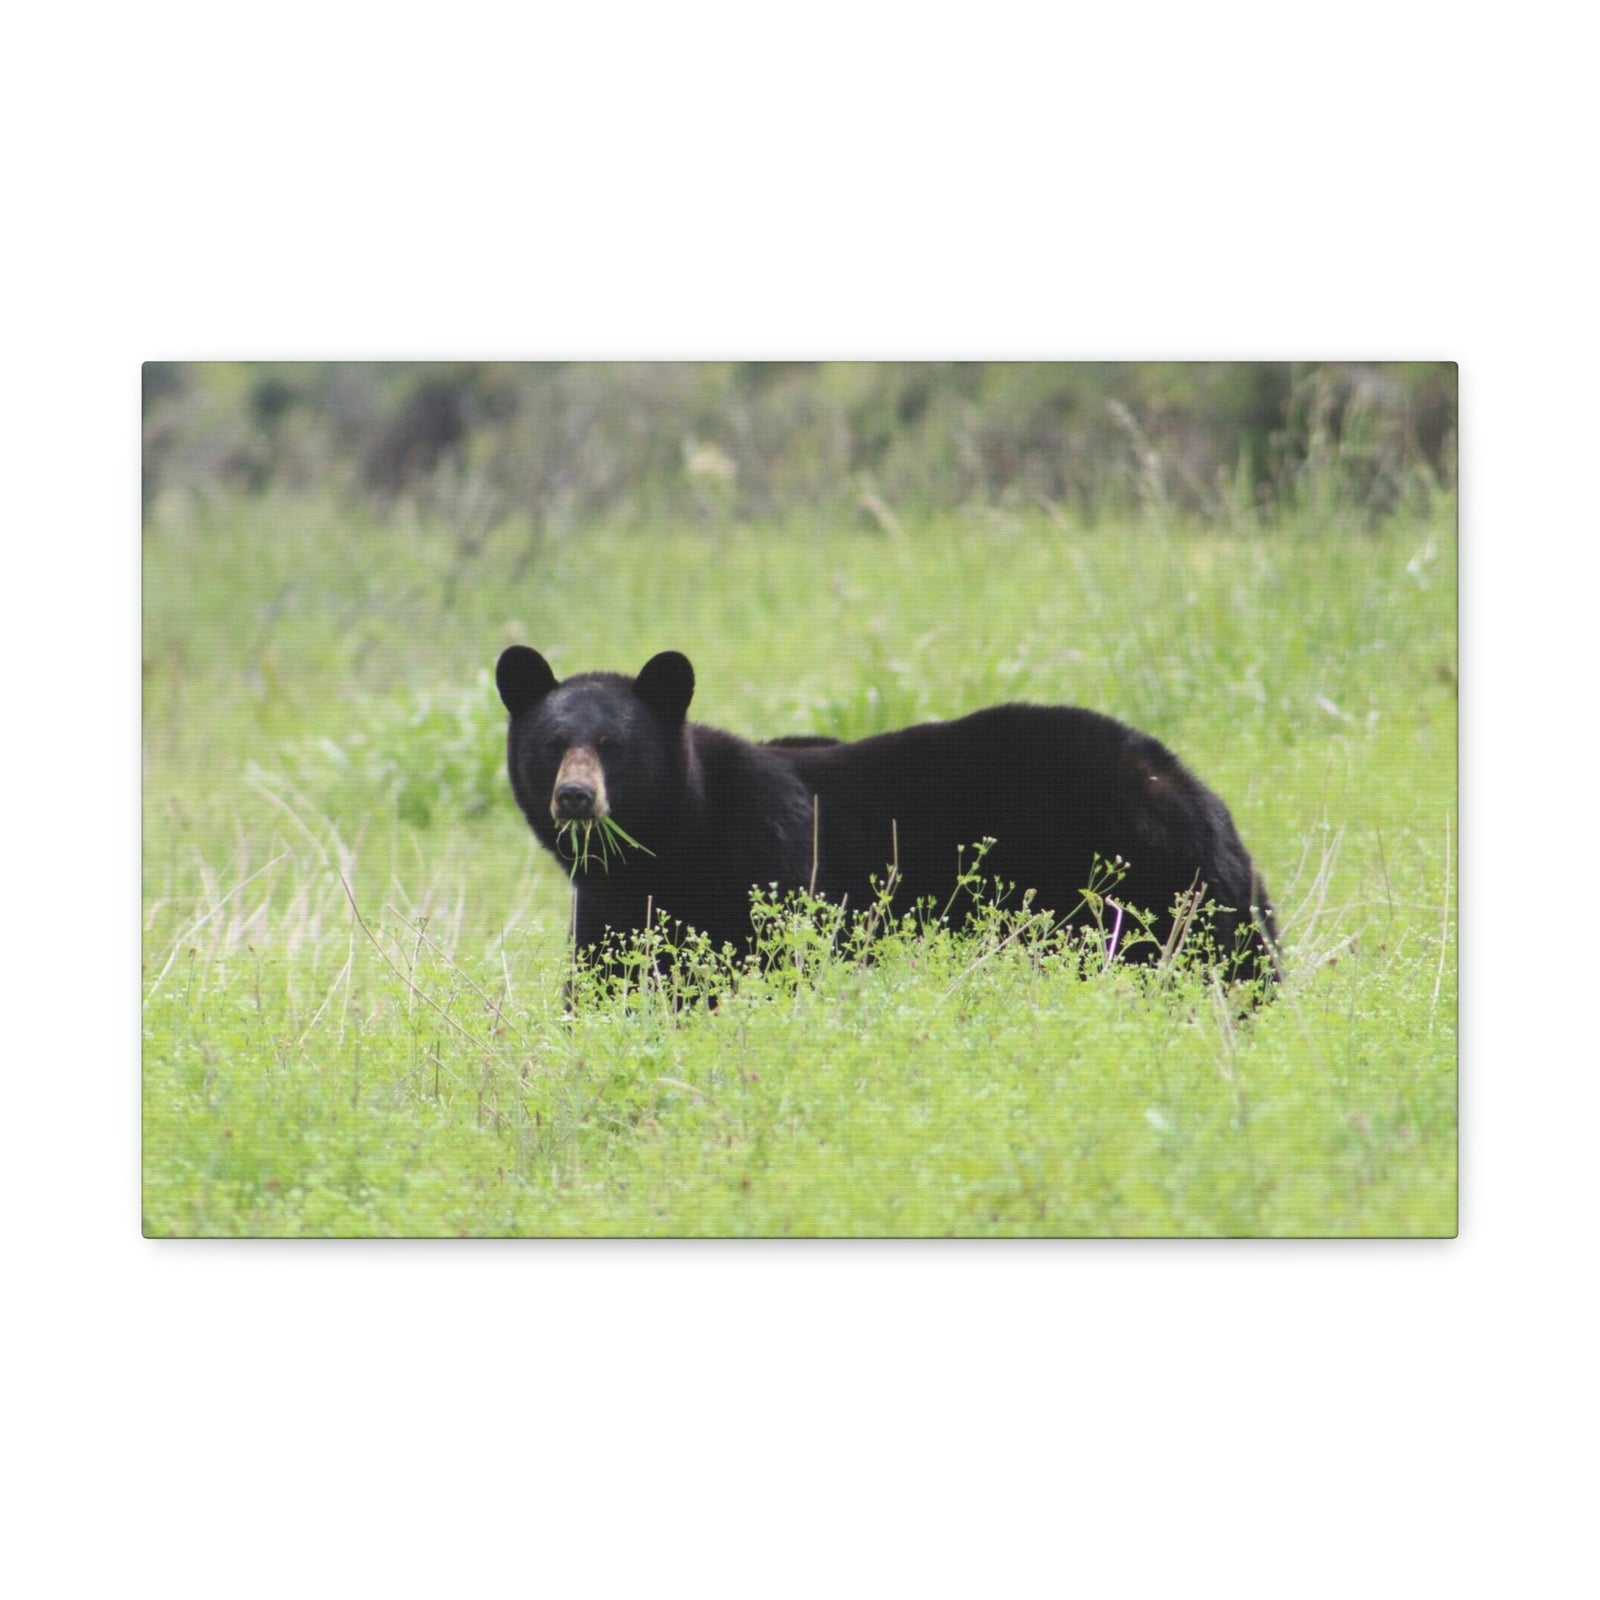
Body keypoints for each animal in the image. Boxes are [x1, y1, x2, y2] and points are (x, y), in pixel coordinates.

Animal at [495, 646, 1280, 988]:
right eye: (553, 743)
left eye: (615, 746)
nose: (576, 796)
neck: (673, 845)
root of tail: (1196, 792)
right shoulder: (611, 908)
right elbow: (611, 983)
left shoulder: (769, 865)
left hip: (1134, 884)